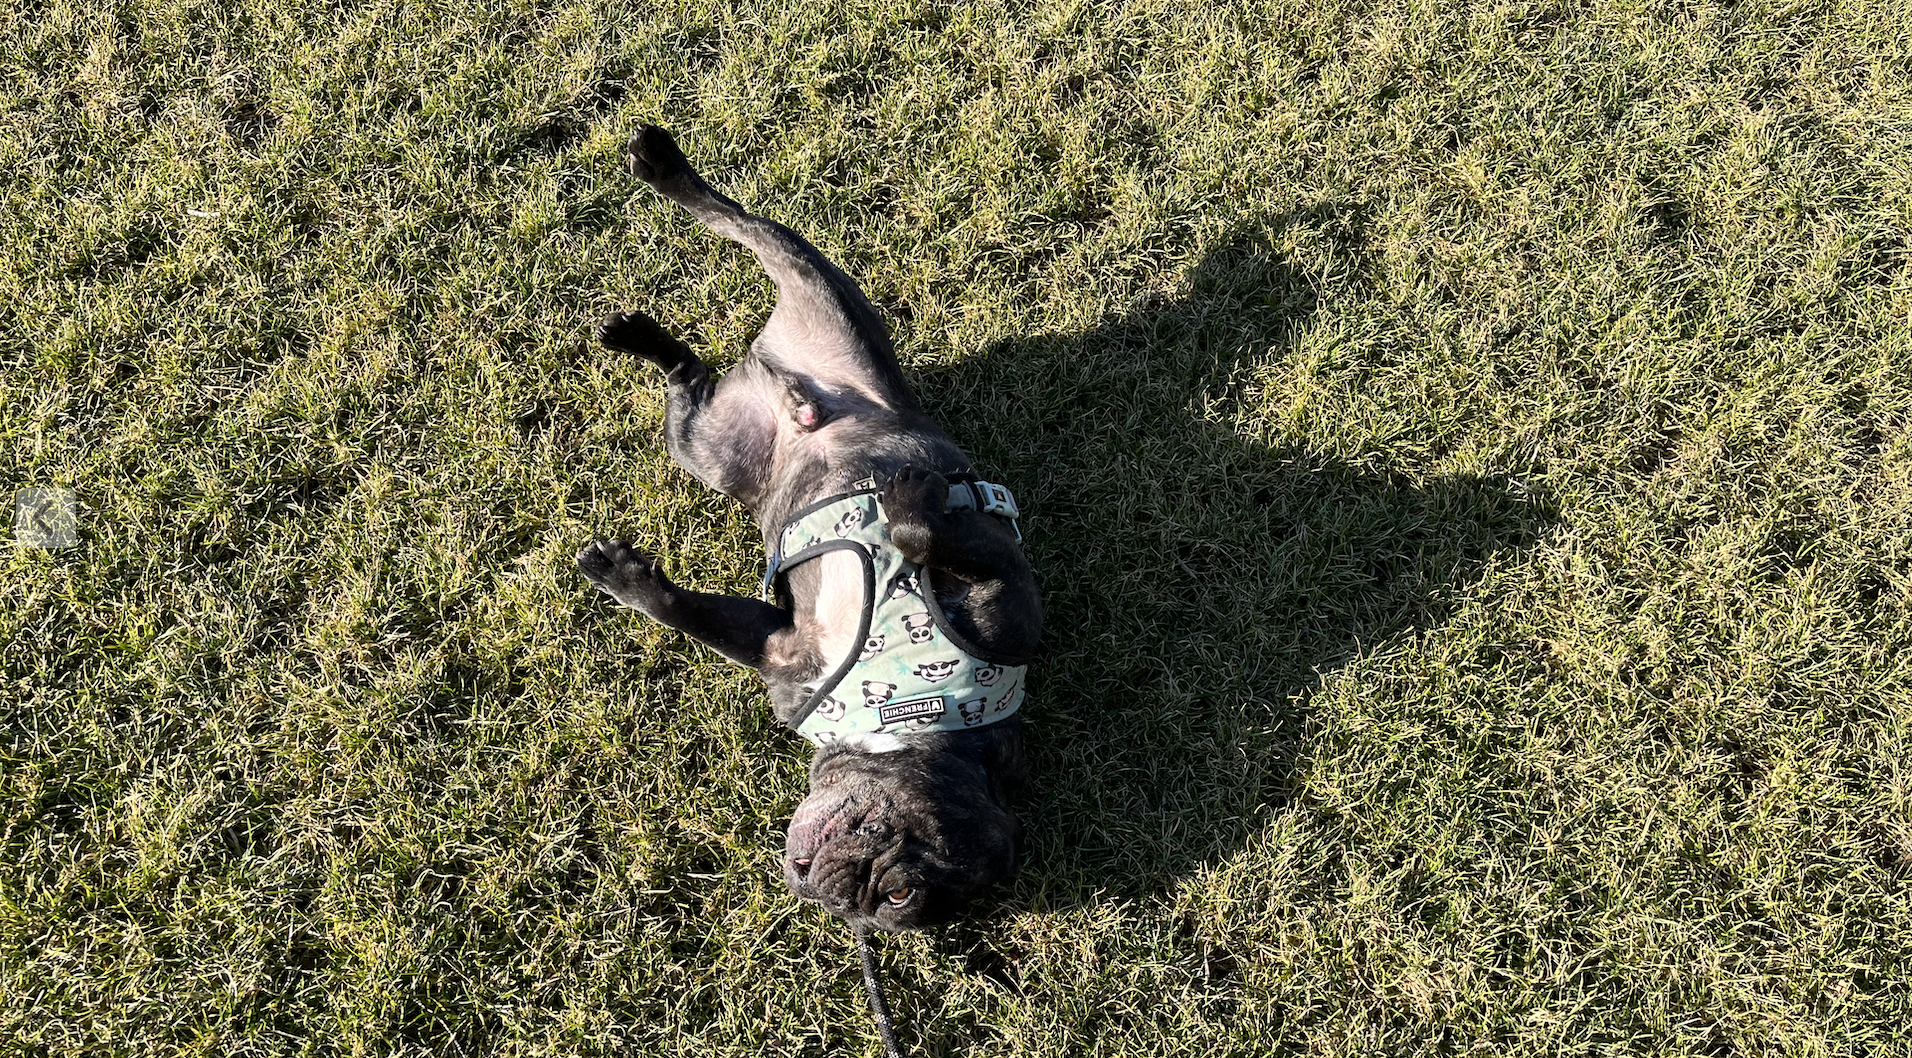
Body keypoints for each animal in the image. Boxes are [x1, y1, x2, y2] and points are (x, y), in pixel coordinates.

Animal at [577, 126, 1047, 933]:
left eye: (894, 900)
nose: (828, 889)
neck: (922, 723)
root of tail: (784, 387)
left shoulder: (781, 654)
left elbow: (692, 612)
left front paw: (623, 578)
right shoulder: (1006, 609)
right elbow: (936, 534)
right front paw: (908, 508)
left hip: (707, 448)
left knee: (688, 379)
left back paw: (648, 338)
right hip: (830, 302)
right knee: (742, 224)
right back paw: (663, 172)